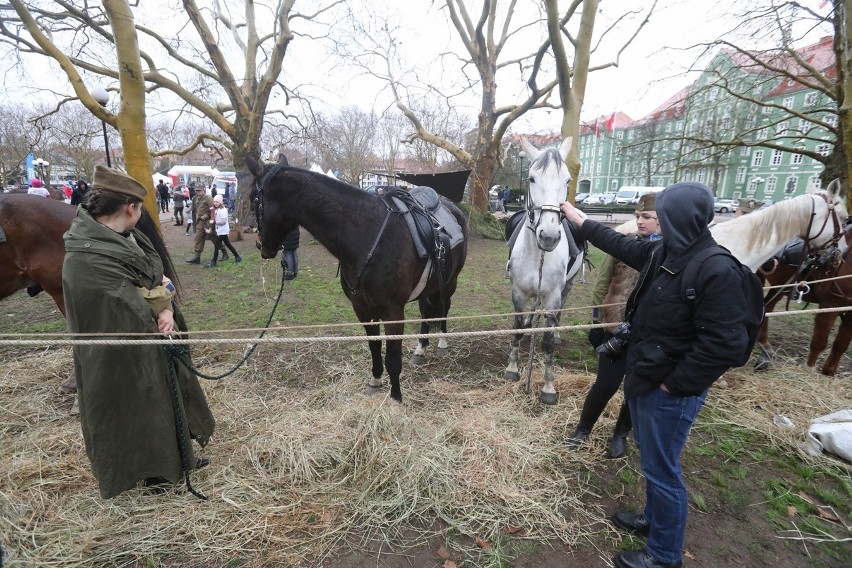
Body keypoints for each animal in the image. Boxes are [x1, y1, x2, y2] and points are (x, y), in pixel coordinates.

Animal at [506, 138, 584, 404]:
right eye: (531, 178)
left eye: (567, 180)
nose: (549, 237)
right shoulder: (518, 292)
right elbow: (518, 327)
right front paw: (512, 368)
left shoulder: (553, 296)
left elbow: (548, 342)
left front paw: (548, 388)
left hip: (567, 287)